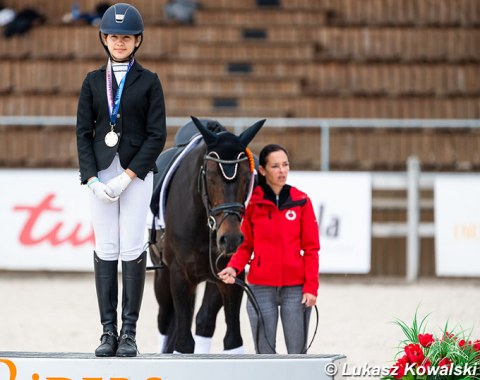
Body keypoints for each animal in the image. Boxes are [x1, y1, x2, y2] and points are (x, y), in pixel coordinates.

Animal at [150, 116, 264, 354]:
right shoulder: (180, 275)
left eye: (247, 178)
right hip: (162, 274)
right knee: (165, 320)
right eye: (210, 177)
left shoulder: (231, 276)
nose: (230, 239)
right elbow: (183, 344)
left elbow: (232, 340)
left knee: (204, 321)